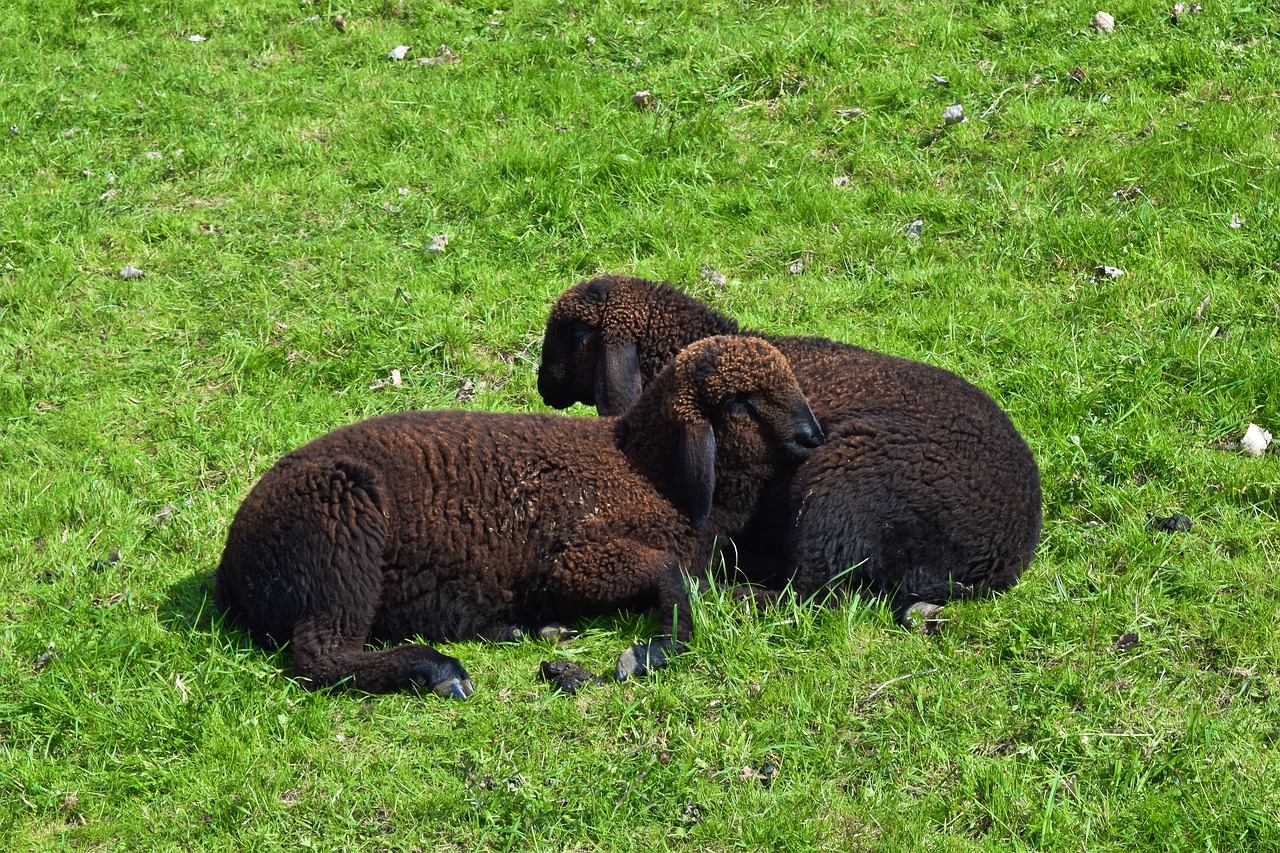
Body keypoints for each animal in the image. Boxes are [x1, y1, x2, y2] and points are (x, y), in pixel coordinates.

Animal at [215, 333, 824, 691]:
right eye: (739, 402)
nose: (813, 437)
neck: (647, 472)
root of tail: (231, 567)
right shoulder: (575, 557)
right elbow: (667, 573)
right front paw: (650, 651)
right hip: (341, 539)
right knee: (321, 656)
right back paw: (438, 669)